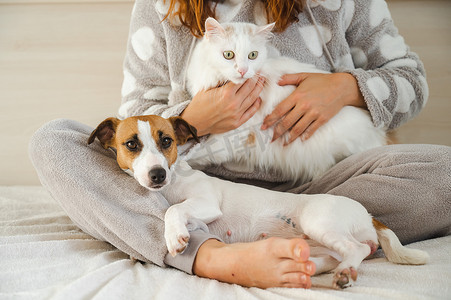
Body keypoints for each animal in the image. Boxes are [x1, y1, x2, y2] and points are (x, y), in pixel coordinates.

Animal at [88, 114, 430, 288]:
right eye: (131, 144)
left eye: (167, 141)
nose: (157, 174)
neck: (171, 184)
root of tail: (370, 216)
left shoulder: (206, 203)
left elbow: (175, 208)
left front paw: (175, 236)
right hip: (319, 248)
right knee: (333, 257)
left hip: (320, 222)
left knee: (357, 249)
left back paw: (345, 272)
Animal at [185, 17, 386, 184]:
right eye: (228, 55)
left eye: (252, 55)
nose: (243, 71)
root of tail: (379, 135)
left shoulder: (230, 139)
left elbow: (195, 154)